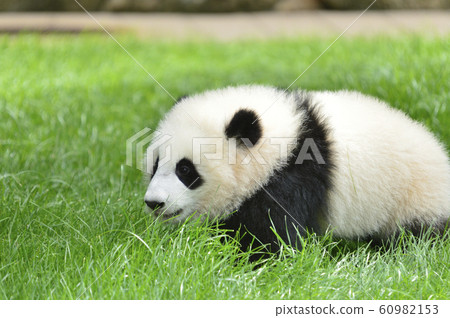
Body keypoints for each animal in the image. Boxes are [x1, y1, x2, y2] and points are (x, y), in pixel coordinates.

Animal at [144, 85, 450, 252]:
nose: (154, 203)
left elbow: (272, 231)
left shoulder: (296, 174)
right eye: (156, 164)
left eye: (186, 170)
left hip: (413, 196)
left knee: (415, 236)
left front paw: (253, 259)